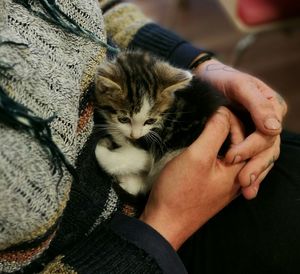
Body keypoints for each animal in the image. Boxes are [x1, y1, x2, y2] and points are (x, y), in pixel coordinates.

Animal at [94, 51, 227, 196]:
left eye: (150, 121)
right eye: (124, 119)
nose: (135, 136)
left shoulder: (156, 147)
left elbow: (130, 159)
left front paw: (102, 146)